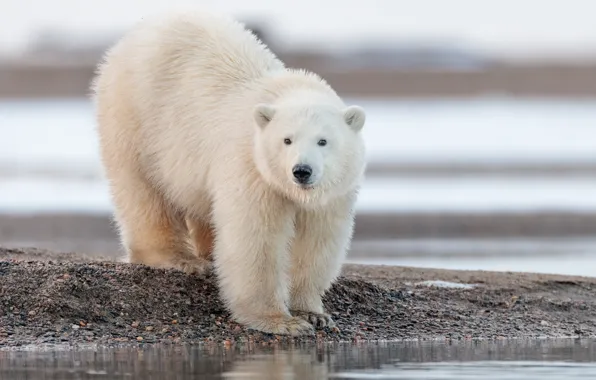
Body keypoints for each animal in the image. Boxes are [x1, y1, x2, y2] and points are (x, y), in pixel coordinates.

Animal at [91, 9, 366, 336]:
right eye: (286, 139)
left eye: (323, 141)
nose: (302, 171)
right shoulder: (251, 168)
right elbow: (255, 239)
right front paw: (280, 321)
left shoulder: (332, 195)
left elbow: (316, 242)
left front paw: (313, 313)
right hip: (135, 119)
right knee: (144, 193)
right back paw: (180, 259)